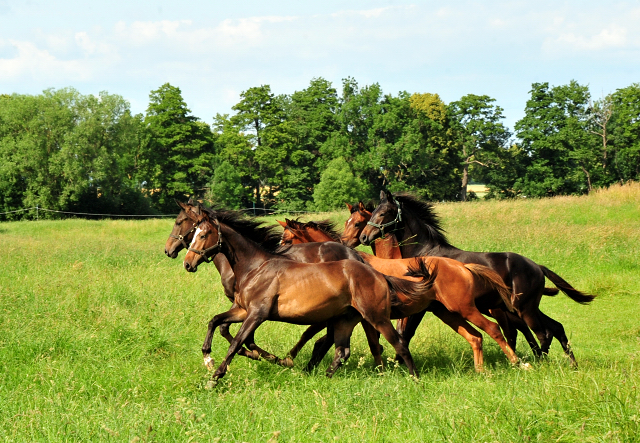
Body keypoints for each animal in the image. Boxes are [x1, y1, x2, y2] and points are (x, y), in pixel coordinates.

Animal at [184, 210, 436, 380]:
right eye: (192, 234)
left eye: (203, 235)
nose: (188, 263)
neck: (256, 267)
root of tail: (377, 273)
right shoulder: (242, 310)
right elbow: (215, 321)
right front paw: (207, 357)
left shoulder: (257, 314)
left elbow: (236, 342)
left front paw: (215, 376)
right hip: (346, 319)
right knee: (342, 350)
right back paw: (323, 376)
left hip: (376, 316)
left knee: (398, 343)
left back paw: (414, 379)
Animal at [278, 219, 524, 372]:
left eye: (287, 239)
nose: (279, 255)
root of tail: (462, 267)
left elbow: (319, 336)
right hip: (447, 313)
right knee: (476, 337)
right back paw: (480, 370)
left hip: (465, 308)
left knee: (493, 329)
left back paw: (517, 363)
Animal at [360, 191, 596, 368]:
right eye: (374, 212)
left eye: (384, 212)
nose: (364, 237)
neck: (425, 252)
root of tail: (537, 267)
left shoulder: (423, 307)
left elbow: (407, 333)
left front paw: (398, 362)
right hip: (525, 308)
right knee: (556, 328)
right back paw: (571, 365)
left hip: (524, 309)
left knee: (543, 333)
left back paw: (539, 363)